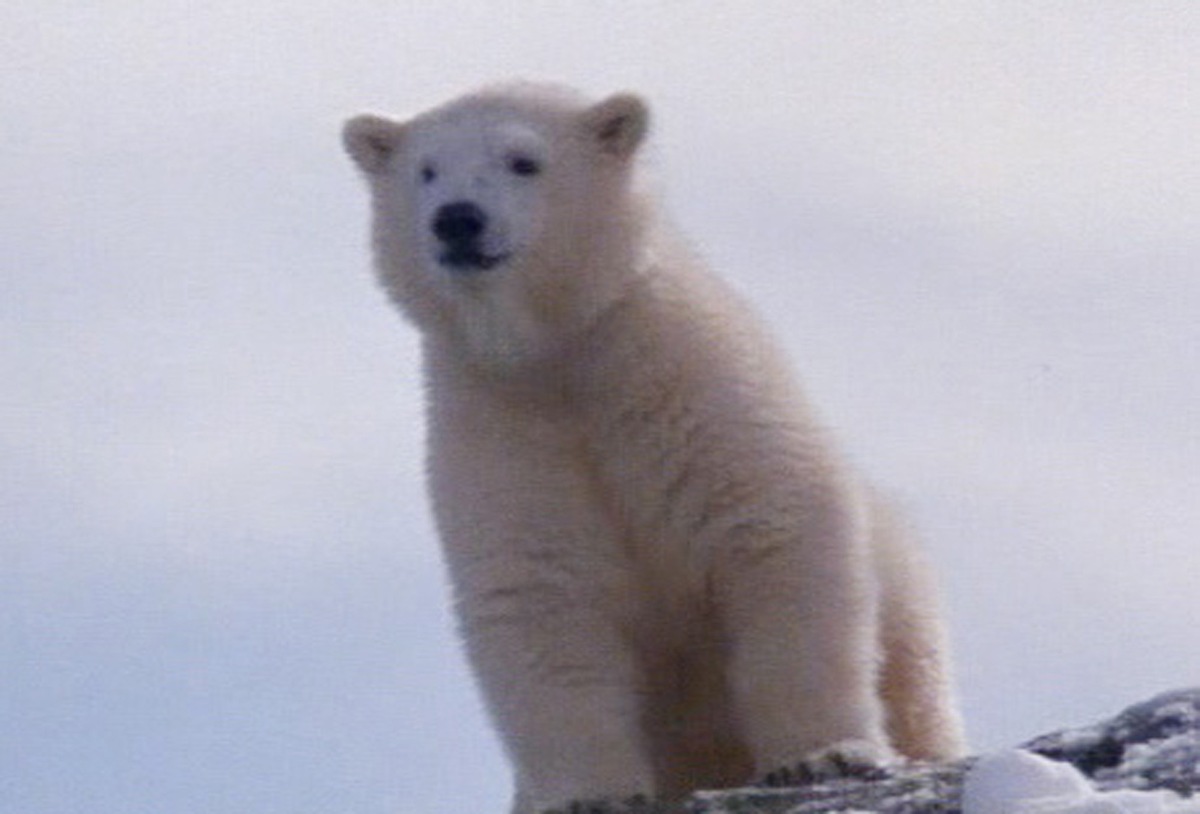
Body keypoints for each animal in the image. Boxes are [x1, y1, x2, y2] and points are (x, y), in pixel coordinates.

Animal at [340, 79, 964, 811]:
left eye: (525, 161)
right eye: (426, 171)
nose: (457, 220)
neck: (561, 356)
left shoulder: (695, 390)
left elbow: (775, 537)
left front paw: (823, 755)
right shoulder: (504, 435)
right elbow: (540, 600)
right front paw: (590, 793)